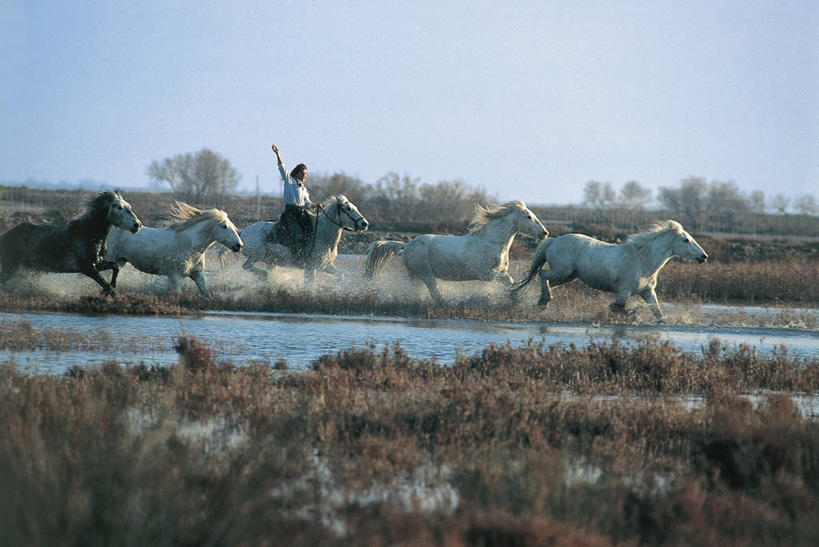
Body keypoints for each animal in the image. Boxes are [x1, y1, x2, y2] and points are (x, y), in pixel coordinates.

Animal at [0, 192, 143, 298]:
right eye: (119, 207)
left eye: (129, 206)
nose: (137, 225)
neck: (89, 234)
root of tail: (5, 235)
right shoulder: (88, 268)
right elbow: (106, 285)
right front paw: (111, 296)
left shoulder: (97, 263)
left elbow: (115, 267)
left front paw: (109, 288)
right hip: (10, 266)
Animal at [99, 202, 243, 298]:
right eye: (224, 226)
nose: (239, 245)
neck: (191, 245)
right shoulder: (175, 276)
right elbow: (177, 295)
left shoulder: (197, 273)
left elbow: (206, 294)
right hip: (109, 258)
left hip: (120, 261)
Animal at [234, 195, 368, 282]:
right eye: (349, 209)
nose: (365, 224)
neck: (322, 236)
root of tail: (242, 232)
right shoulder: (311, 268)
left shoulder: (325, 266)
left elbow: (341, 275)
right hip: (256, 256)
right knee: (246, 266)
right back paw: (264, 275)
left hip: (271, 262)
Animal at [366, 201, 548, 304]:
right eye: (528, 217)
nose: (544, 233)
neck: (491, 242)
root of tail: (406, 245)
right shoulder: (485, 273)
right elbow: (509, 280)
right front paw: (514, 297)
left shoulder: (494, 274)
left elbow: (503, 282)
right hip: (426, 274)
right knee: (435, 293)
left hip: (415, 276)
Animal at [512, 219, 712, 322]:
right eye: (685, 240)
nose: (703, 257)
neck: (643, 260)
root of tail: (553, 240)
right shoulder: (623, 291)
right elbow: (619, 308)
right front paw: (631, 314)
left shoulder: (647, 292)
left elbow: (658, 313)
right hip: (561, 271)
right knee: (542, 275)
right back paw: (544, 301)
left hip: (569, 276)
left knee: (547, 281)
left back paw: (543, 302)